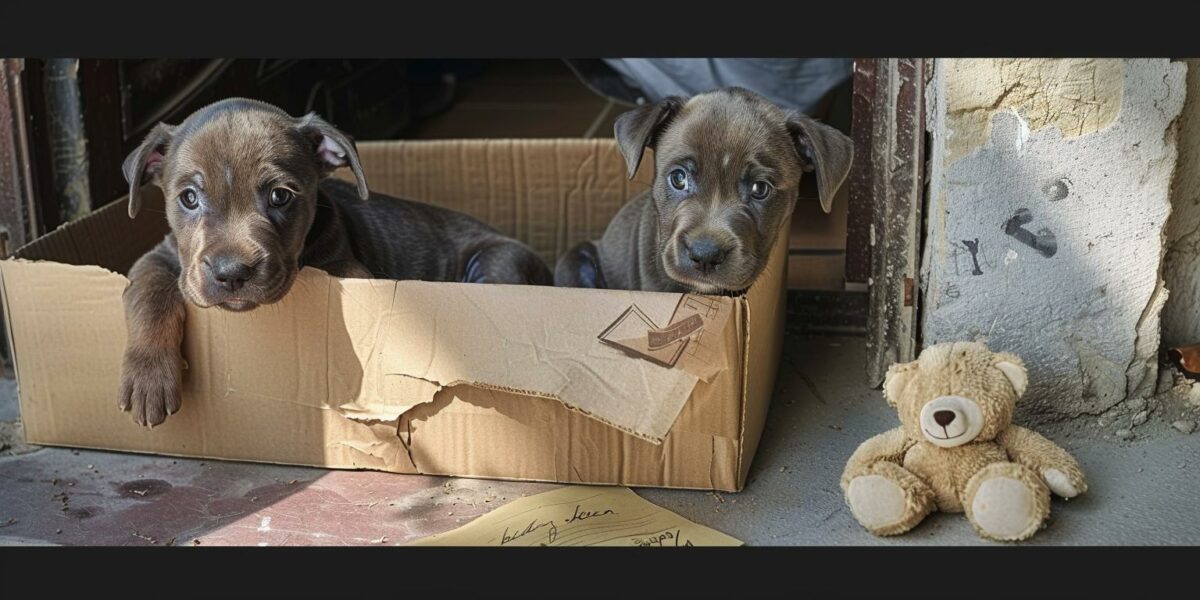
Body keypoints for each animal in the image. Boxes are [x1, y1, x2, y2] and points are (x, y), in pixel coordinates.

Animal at [117, 97, 549, 427]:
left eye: (280, 196)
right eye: (188, 198)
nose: (232, 273)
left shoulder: (353, 269)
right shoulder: (158, 258)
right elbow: (149, 294)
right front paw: (148, 377)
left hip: (497, 261)